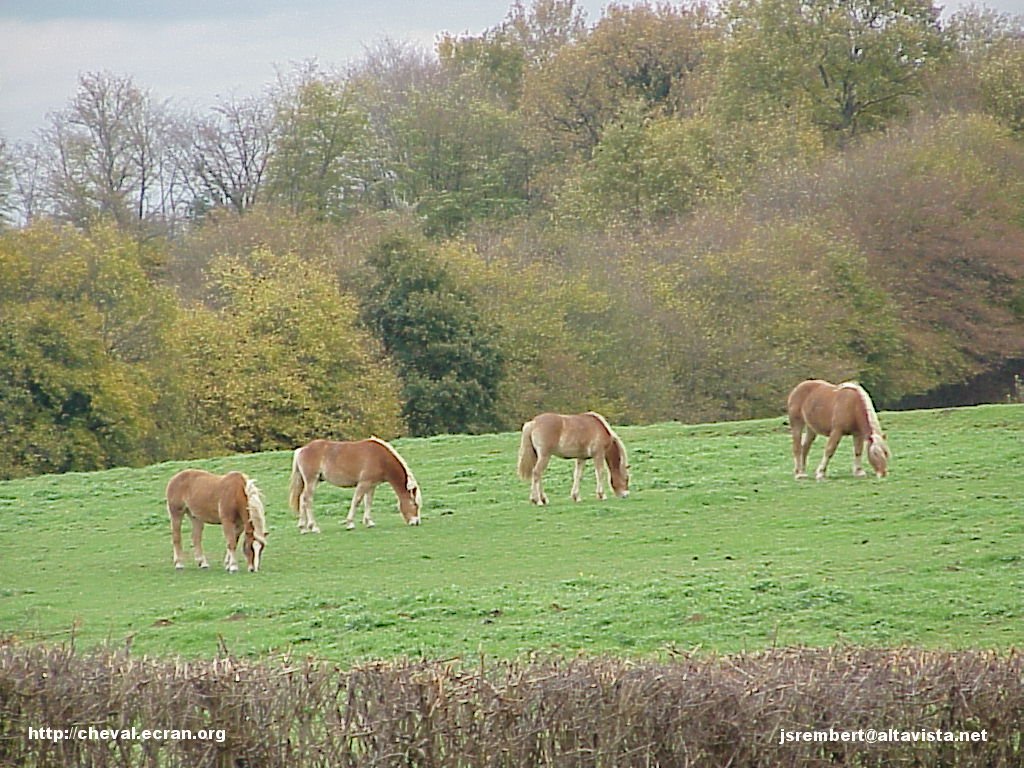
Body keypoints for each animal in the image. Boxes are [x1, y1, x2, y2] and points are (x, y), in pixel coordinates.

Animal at [286, 438, 421, 536]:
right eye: (414, 504)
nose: (416, 522)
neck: (381, 458)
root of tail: (302, 449)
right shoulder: (363, 483)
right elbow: (356, 501)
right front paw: (350, 523)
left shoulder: (371, 486)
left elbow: (368, 502)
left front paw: (369, 522)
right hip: (311, 481)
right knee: (307, 500)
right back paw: (313, 527)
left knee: (302, 499)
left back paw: (303, 528)